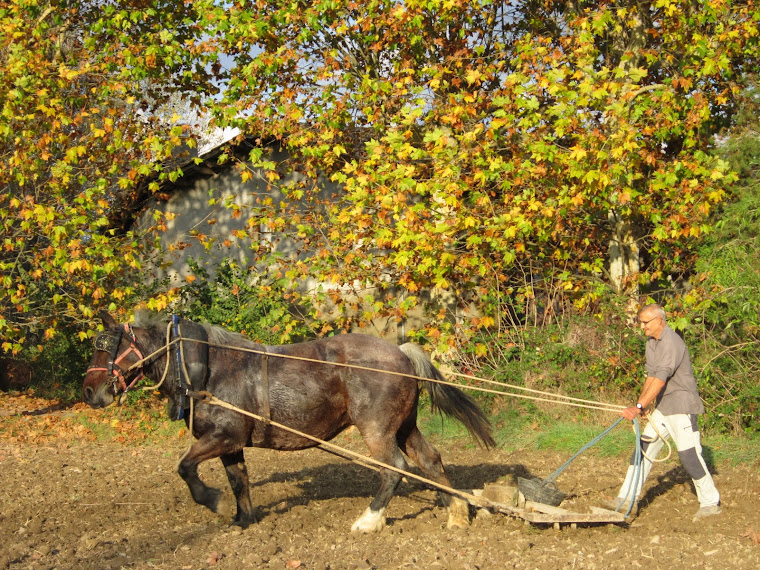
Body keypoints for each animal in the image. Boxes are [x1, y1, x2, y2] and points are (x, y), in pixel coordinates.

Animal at [83, 308, 496, 532]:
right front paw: (243, 519)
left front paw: (212, 501)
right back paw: (456, 512)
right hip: (405, 425)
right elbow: (239, 481)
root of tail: (401, 352)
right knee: (429, 460)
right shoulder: (231, 445)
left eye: (107, 346)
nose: (89, 392)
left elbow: (185, 468)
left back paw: (369, 519)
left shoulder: (221, 437)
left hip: (377, 430)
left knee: (394, 468)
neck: (208, 370)